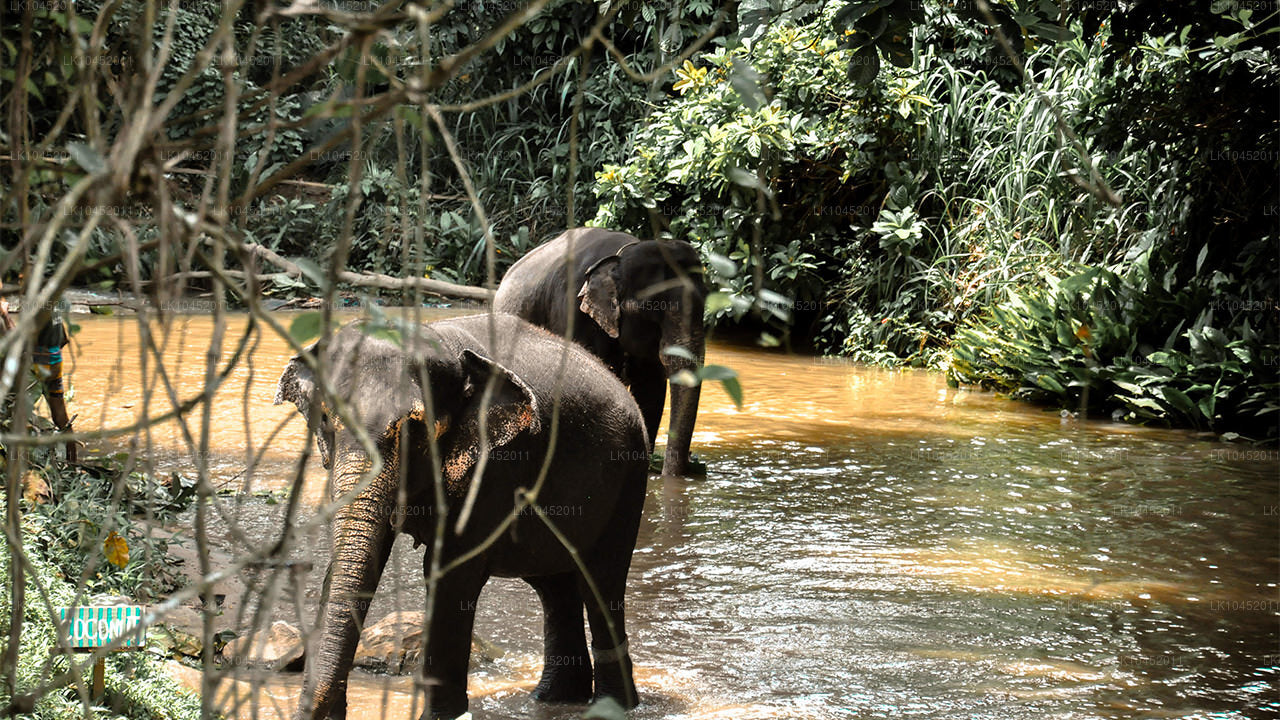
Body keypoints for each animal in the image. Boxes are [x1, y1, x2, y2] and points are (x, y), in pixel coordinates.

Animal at [272, 312, 650, 717]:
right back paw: (553, 697)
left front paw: (440, 716)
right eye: (327, 420)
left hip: (629, 480)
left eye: (414, 429)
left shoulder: (496, 466)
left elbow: (449, 574)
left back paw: (611, 706)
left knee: (602, 582)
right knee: (555, 585)